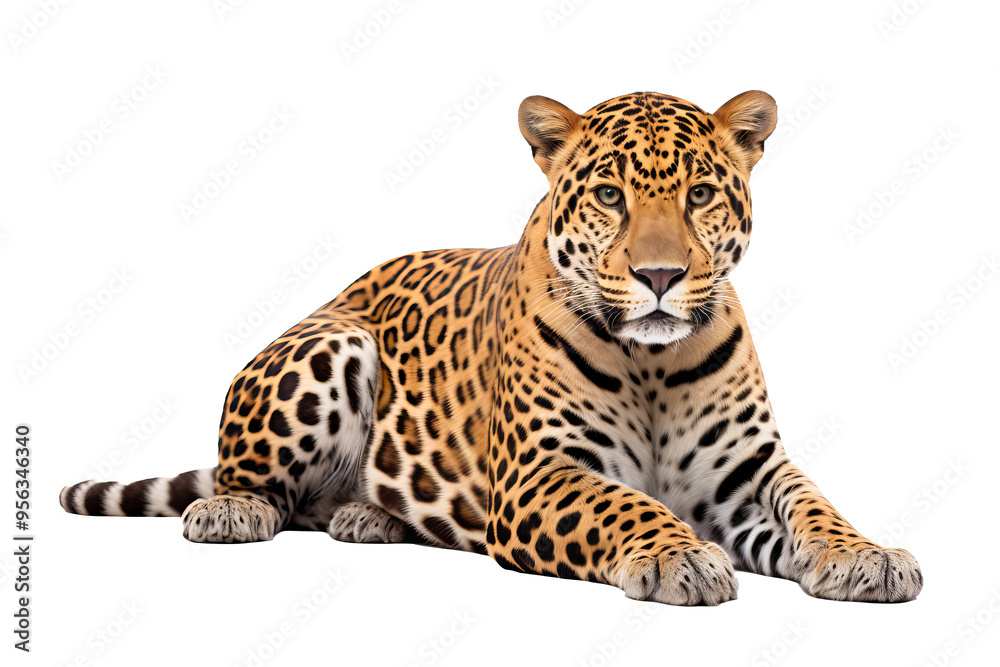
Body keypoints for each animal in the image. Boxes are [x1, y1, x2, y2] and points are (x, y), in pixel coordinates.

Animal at [61, 90, 923, 605]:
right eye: (609, 194)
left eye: (701, 193)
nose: (659, 275)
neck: (651, 361)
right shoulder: (540, 473)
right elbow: (626, 502)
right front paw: (680, 556)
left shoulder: (747, 472)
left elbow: (814, 503)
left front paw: (867, 554)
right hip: (333, 344)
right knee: (260, 486)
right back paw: (231, 508)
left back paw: (369, 516)